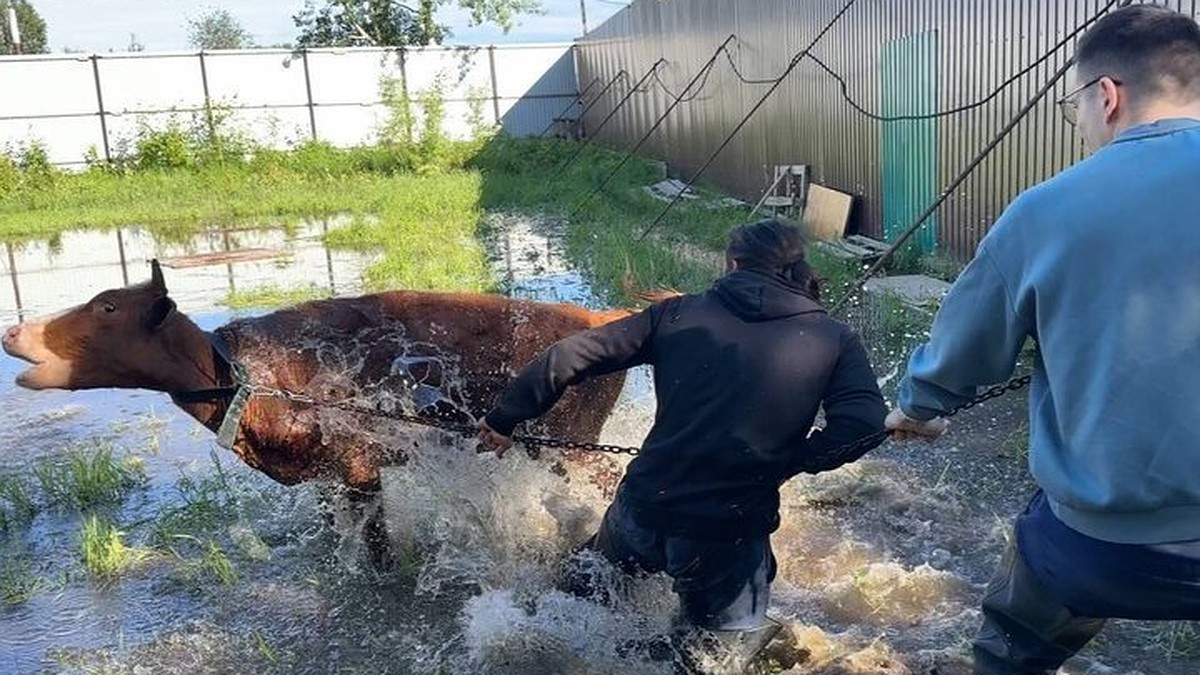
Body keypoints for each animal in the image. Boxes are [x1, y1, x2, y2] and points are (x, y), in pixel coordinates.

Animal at [0, 261, 633, 562]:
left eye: (108, 305)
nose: (12, 331)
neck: (241, 376)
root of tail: (602, 317)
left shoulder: (360, 470)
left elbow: (377, 552)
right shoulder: (326, 477)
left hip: (567, 445)